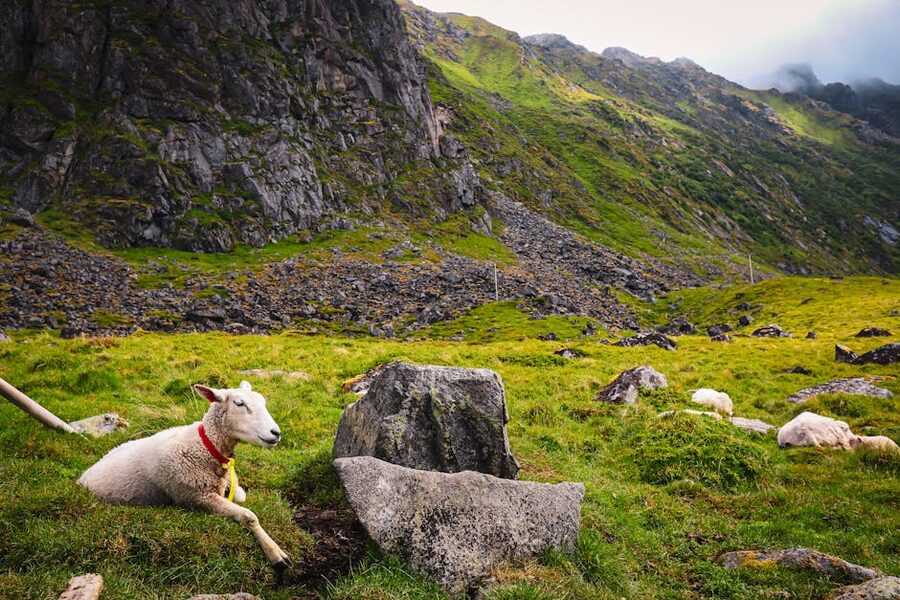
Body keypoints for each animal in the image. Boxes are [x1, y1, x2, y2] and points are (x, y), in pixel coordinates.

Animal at [77, 381, 291, 571]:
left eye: (263, 401)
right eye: (239, 403)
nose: (276, 433)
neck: (206, 446)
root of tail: (83, 475)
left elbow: (240, 495)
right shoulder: (197, 496)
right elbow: (249, 516)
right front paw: (276, 553)